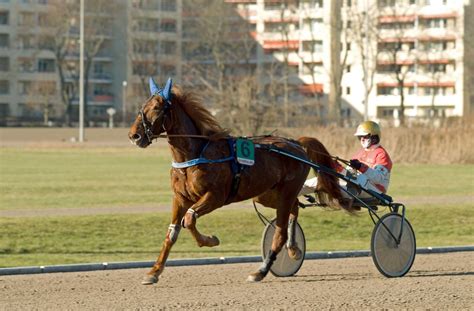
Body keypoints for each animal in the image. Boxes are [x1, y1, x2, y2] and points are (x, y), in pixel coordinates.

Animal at [128, 78, 346, 286]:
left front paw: (210, 240)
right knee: (294, 209)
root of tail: (296, 143)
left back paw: (261, 271)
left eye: (157, 107)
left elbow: (189, 220)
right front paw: (153, 272)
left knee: (280, 231)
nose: (134, 135)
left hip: (287, 191)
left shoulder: (215, 196)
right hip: (266, 195)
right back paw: (293, 249)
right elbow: (172, 234)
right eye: (142, 106)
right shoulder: (180, 198)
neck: (195, 154)